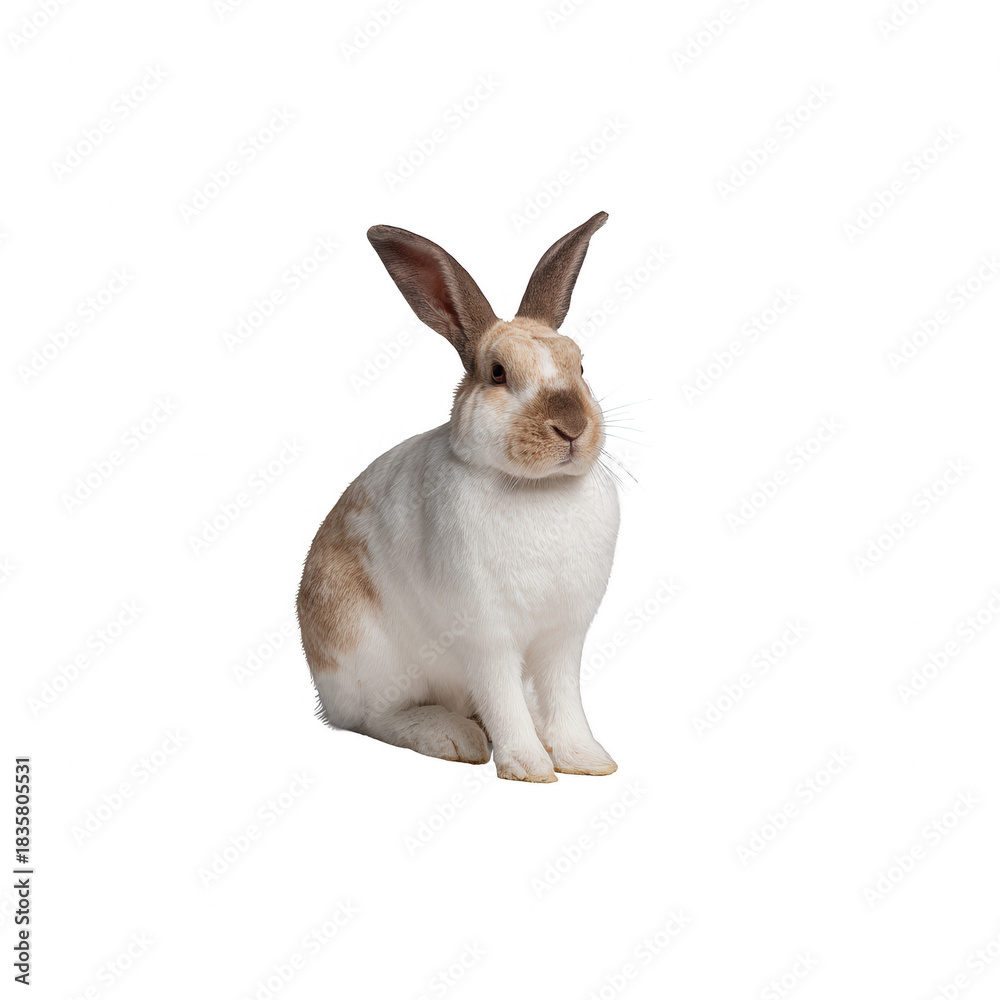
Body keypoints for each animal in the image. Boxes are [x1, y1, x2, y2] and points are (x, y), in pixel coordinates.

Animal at [297, 211, 620, 782]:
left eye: (581, 366)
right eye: (497, 373)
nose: (572, 427)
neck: (539, 487)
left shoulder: (563, 637)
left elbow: (565, 701)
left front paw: (587, 760)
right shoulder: (485, 636)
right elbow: (502, 697)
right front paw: (529, 768)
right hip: (368, 655)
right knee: (375, 717)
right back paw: (454, 737)